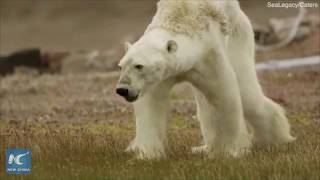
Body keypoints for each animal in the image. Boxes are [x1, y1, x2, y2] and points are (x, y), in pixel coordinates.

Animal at [115, 0, 296, 158]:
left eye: (139, 66)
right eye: (121, 66)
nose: (122, 89)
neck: (180, 19)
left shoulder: (208, 54)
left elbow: (224, 95)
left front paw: (227, 151)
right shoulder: (159, 77)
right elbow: (151, 104)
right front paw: (146, 154)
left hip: (238, 37)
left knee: (248, 96)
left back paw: (276, 141)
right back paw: (203, 148)